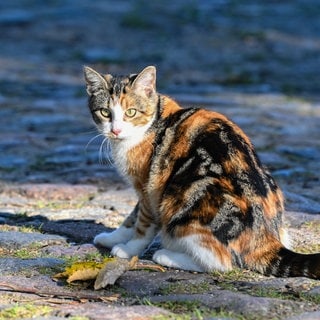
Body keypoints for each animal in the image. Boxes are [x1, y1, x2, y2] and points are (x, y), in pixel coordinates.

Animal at [84, 66, 320, 278]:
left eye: (131, 112)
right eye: (105, 112)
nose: (115, 130)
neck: (153, 122)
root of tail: (265, 237)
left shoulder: (149, 186)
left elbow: (143, 222)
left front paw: (127, 250)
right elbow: (131, 217)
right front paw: (111, 238)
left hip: (184, 198)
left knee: (222, 263)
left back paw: (165, 255)